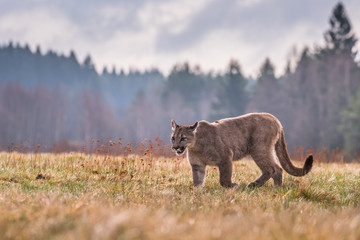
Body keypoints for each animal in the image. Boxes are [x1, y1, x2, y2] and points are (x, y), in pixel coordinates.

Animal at [170, 113, 314, 188]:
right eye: (173, 138)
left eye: (183, 138)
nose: (175, 147)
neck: (195, 146)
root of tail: (273, 117)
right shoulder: (197, 165)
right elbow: (197, 180)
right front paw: (197, 191)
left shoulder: (226, 157)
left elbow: (224, 178)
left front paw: (232, 186)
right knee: (275, 169)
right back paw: (269, 187)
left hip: (259, 150)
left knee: (273, 168)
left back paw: (264, 186)